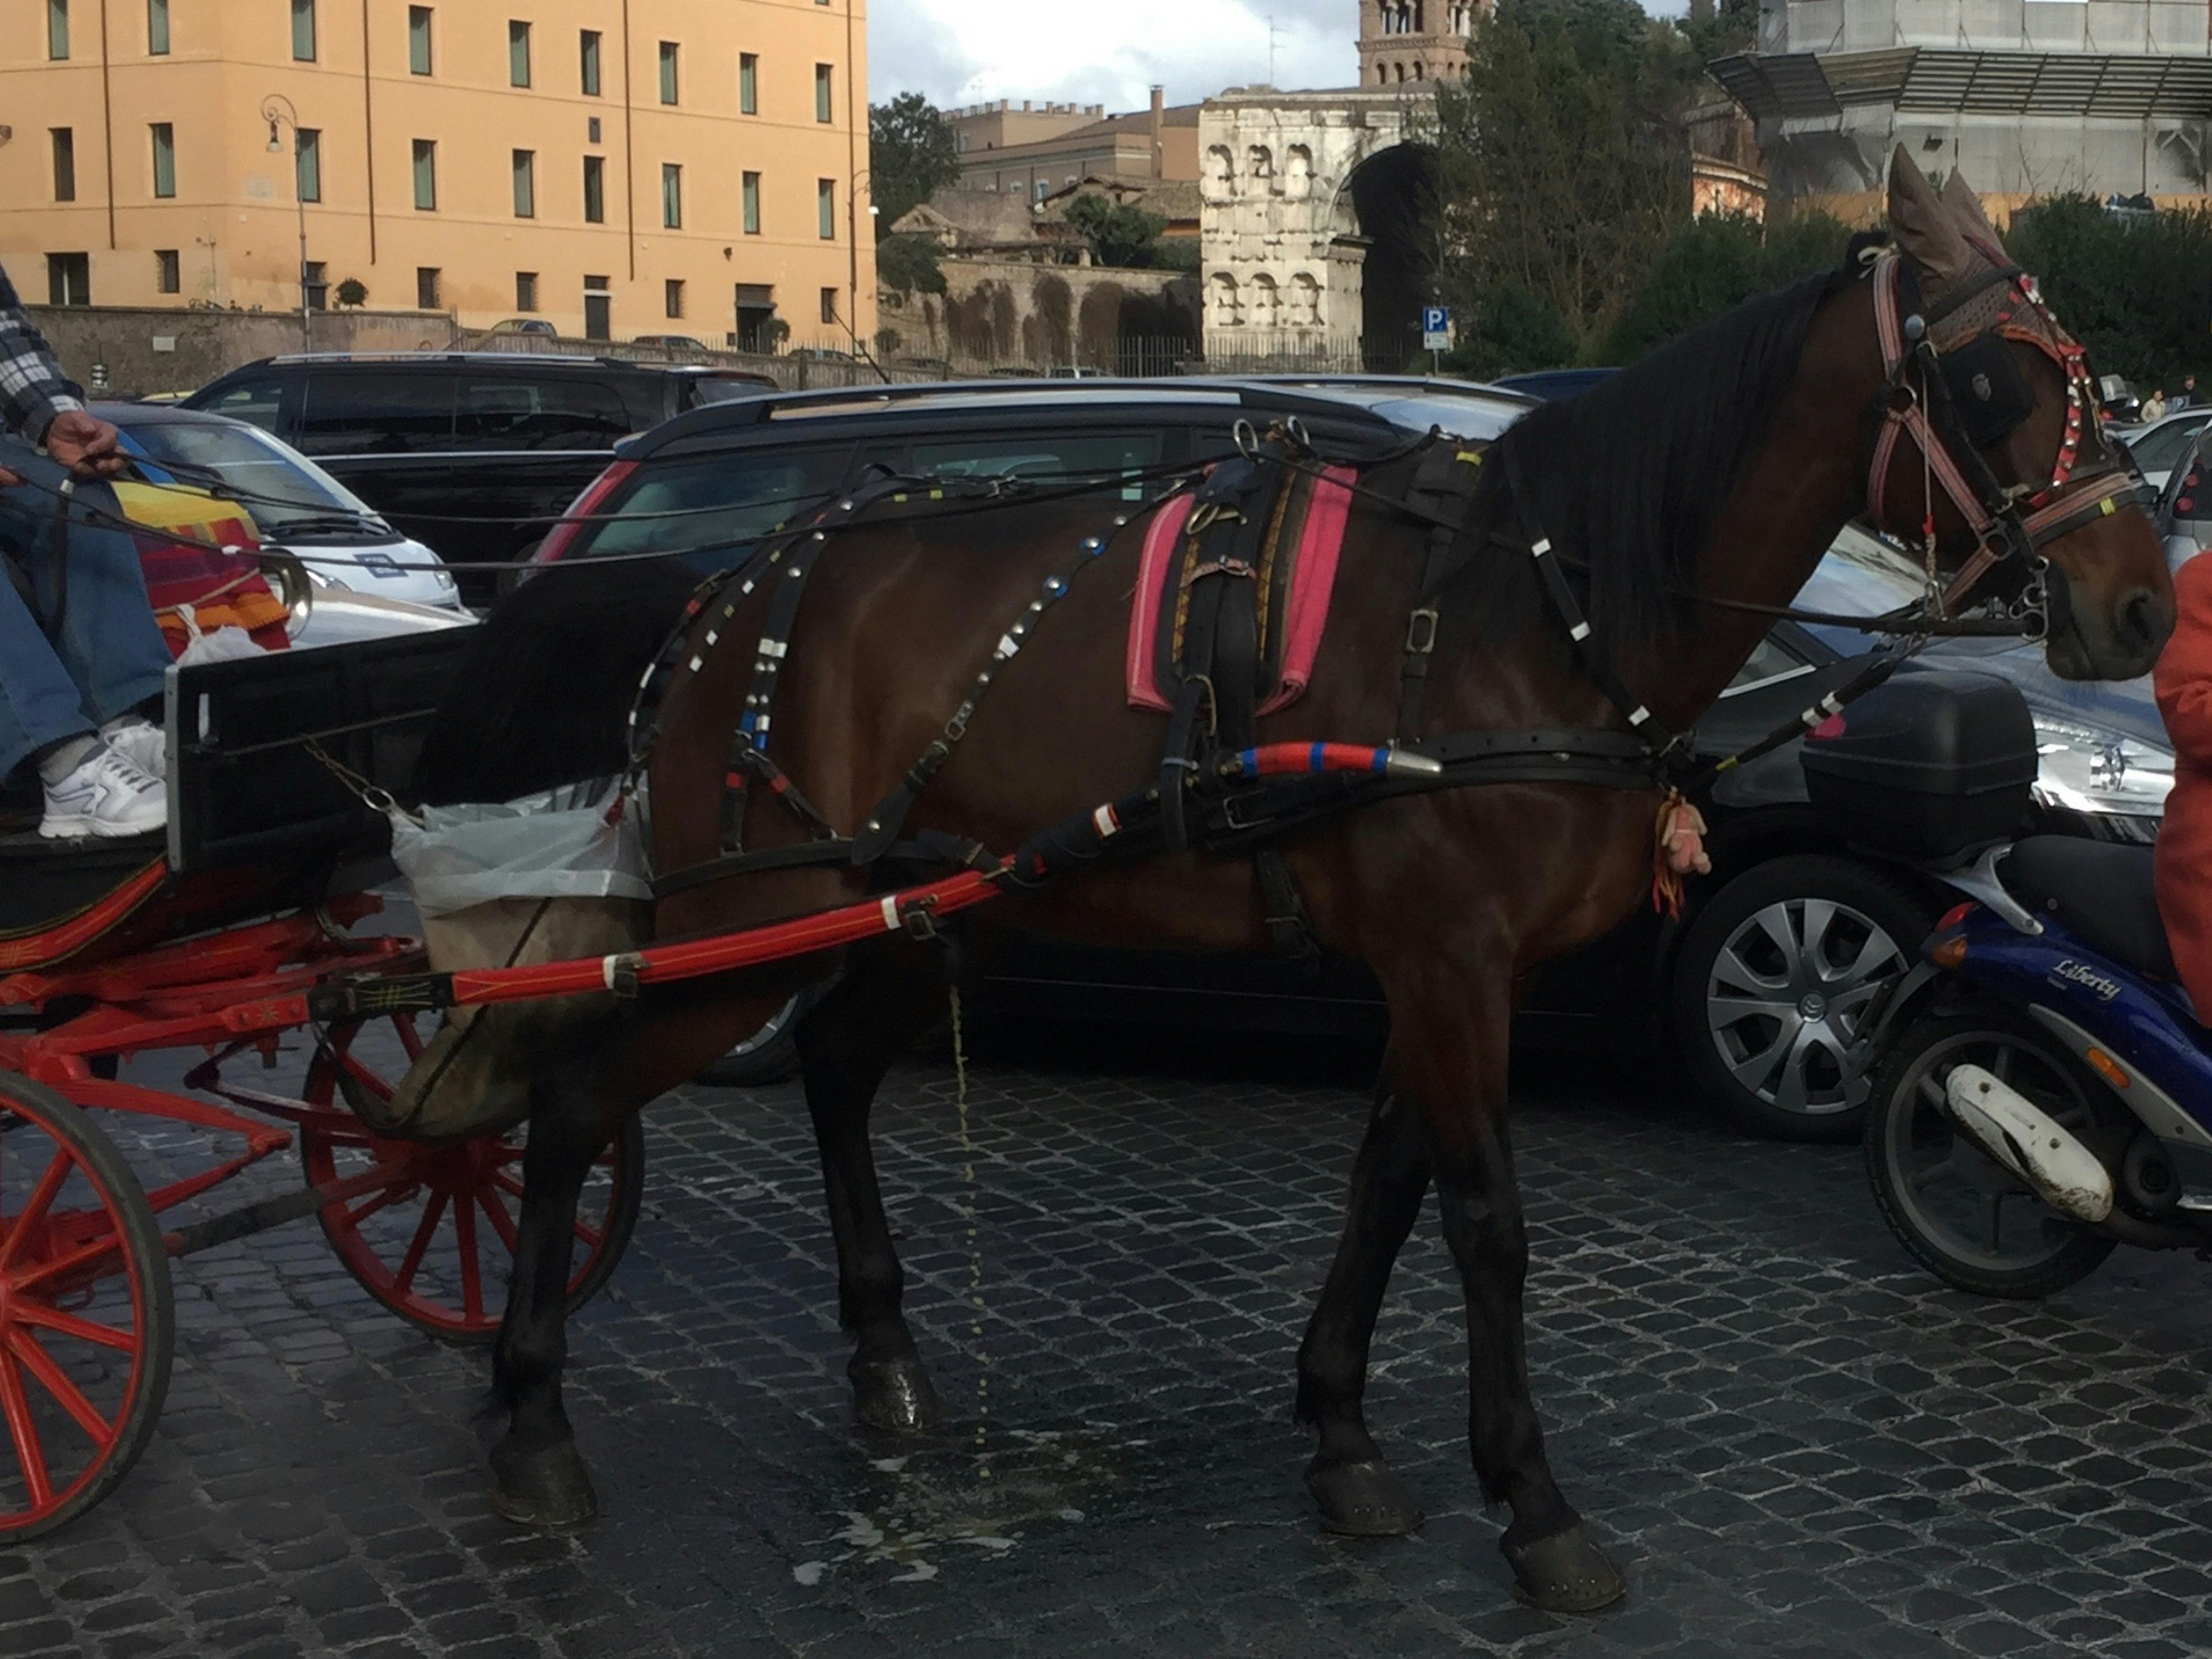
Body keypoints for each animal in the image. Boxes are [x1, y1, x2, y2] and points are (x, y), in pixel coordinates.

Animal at [418, 152, 2176, 1610]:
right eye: (1994, 379)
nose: (2144, 607)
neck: (1535, 616)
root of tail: (718, 590)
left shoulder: (1442, 967)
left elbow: (1385, 1185)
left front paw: (1340, 1433)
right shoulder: (1452, 959)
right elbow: (1484, 1219)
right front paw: (1531, 1502)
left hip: (914, 912)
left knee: (837, 1070)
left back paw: (882, 1358)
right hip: (751, 914)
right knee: (574, 1098)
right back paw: (529, 1412)